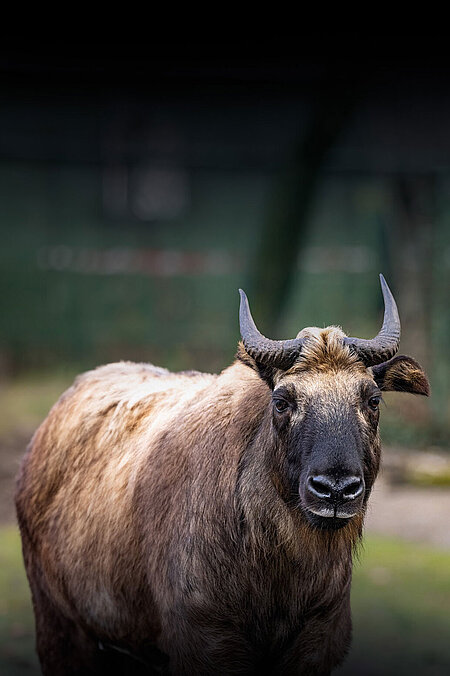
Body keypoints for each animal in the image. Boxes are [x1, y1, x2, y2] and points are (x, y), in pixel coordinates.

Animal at [14, 272, 428, 672]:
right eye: (281, 401)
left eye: (373, 399)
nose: (336, 489)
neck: (277, 576)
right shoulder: (206, 644)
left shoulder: (315, 646)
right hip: (60, 630)